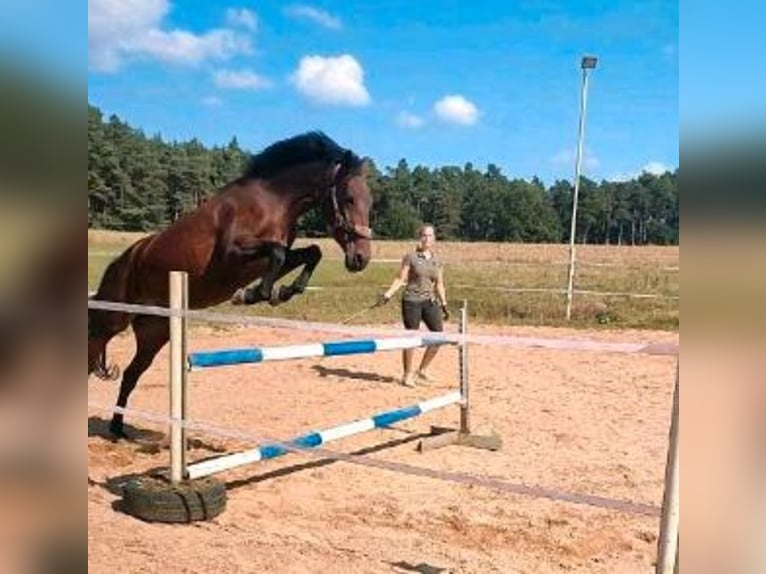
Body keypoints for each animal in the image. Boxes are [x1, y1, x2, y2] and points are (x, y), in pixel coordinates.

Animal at [90, 133, 376, 438]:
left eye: (369, 202)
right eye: (349, 198)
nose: (361, 259)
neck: (274, 202)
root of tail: (128, 257)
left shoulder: (269, 259)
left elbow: (309, 253)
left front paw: (280, 292)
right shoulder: (234, 253)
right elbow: (278, 253)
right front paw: (252, 295)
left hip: (154, 332)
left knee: (131, 374)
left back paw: (118, 427)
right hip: (113, 319)